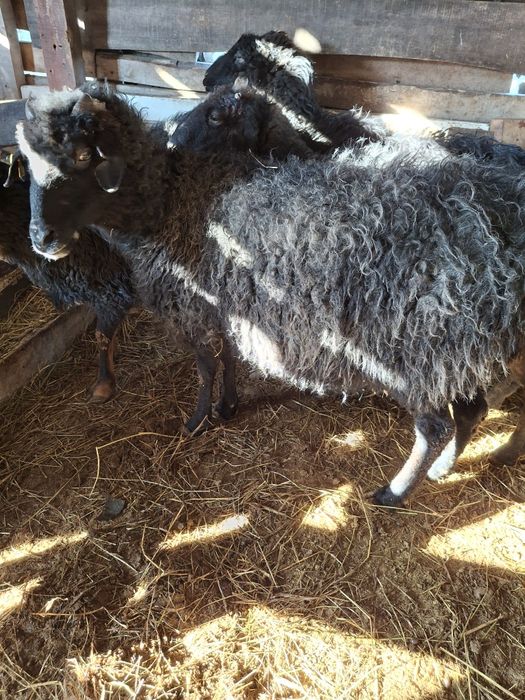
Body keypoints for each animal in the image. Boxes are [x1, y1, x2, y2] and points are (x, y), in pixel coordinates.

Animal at [17, 85, 525, 507]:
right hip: (459, 351)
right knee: (473, 411)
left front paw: (197, 420)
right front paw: (227, 406)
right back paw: (446, 469)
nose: (40, 238)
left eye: (84, 154)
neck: (172, 200)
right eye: (29, 164)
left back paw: (394, 492)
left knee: (435, 426)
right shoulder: (226, 307)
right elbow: (228, 358)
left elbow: (204, 366)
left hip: (418, 350)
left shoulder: (192, 308)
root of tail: (491, 224)